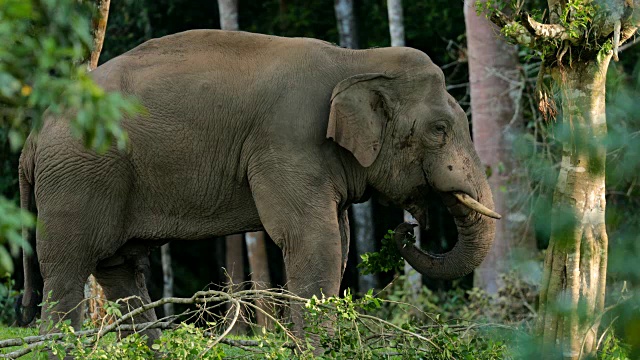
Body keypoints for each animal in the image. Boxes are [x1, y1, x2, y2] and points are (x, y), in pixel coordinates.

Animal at [16, 29, 500, 338]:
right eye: (439, 130)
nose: (409, 227)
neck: (355, 59)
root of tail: (34, 135)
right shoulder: (288, 141)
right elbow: (314, 240)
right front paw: (317, 349)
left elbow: (340, 240)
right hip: (78, 177)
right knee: (67, 270)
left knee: (120, 271)